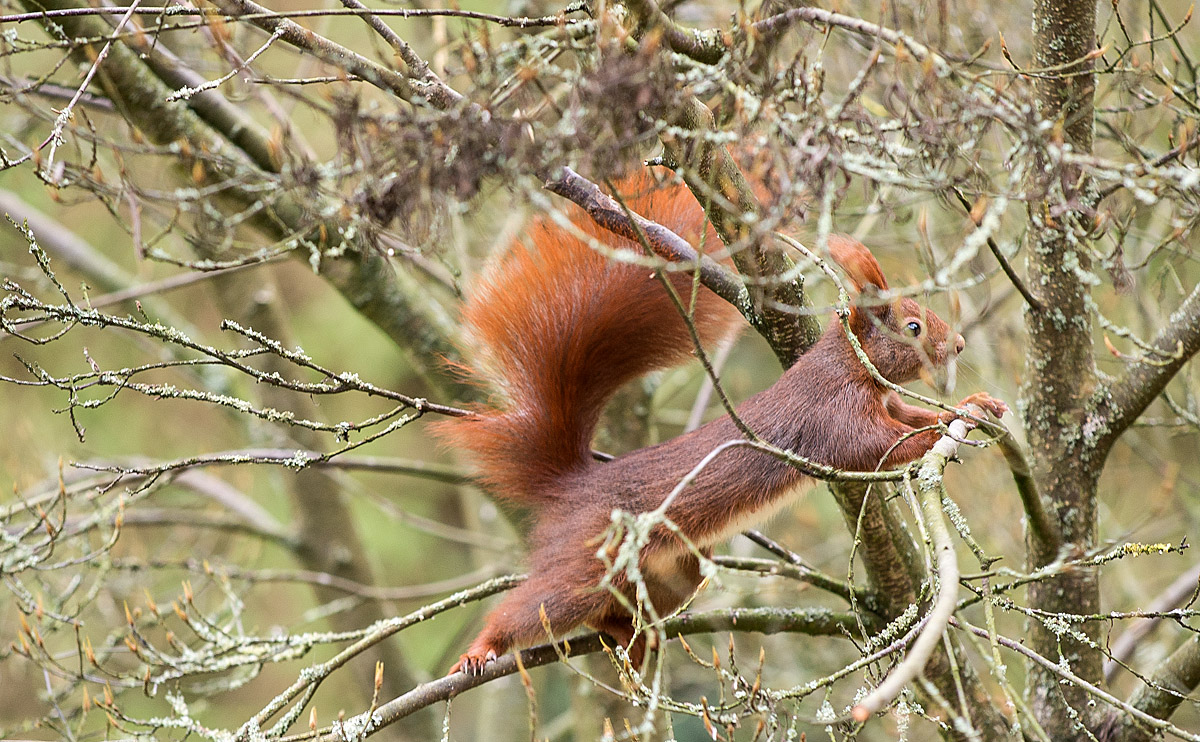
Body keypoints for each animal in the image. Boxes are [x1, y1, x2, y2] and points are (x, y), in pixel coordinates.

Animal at [434, 171, 1008, 674]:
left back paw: (631, 637)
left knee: (614, 613)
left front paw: (972, 405)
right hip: (588, 562)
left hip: (670, 578)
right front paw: (941, 433)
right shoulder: (835, 415)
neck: (850, 365)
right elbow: (882, 443)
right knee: (538, 606)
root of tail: (571, 484)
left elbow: (913, 414)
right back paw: (482, 650)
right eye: (913, 327)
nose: (959, 344)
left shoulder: (885, 401)